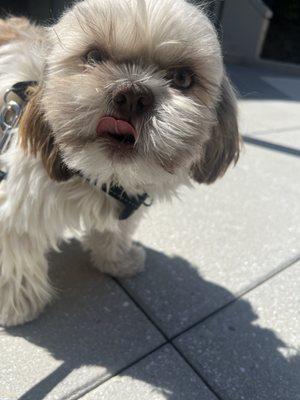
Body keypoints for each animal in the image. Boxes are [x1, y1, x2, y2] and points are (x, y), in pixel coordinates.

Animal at [0, 0, 239, 324]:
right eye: (94, 57)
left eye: (182, 78)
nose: (133, 93)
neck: (98, 175)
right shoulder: (15, 210)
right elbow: (17, 261)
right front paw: (19, 305)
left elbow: (115, 231)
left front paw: (116, 260)